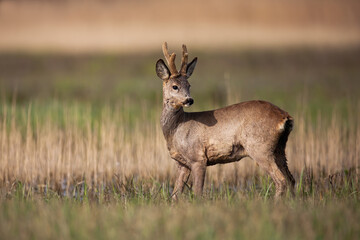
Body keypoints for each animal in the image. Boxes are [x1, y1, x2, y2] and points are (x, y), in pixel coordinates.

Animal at [155, 42, 296, 200]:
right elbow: (175, 194)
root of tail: (284, 116)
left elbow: (197, 192)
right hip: (279, 148)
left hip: (260, 147)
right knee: (291, 179)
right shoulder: (182, 163)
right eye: (175, 86)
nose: (189, 100)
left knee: (281, 180)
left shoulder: (198, 157)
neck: (176, 129)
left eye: (189, 85)